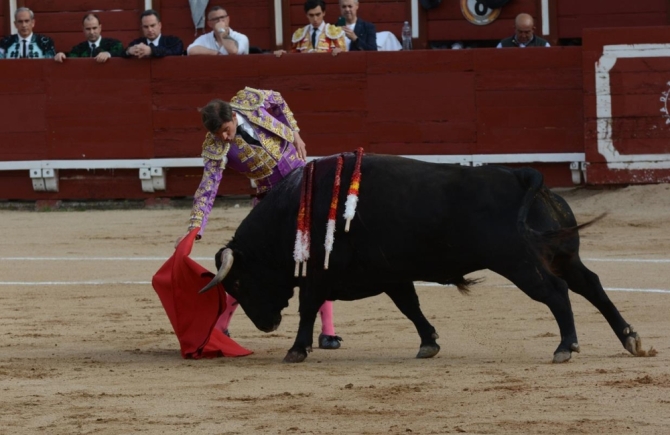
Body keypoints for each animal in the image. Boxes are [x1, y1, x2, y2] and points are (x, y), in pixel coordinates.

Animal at [202, 154, 648, 364]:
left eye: (237, 282)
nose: (266, 325)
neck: (294, 211)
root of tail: (522, 175)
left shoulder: (319, 275)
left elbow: (308, 307)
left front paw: (296, 349)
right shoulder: (391, 274)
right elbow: (410, 306)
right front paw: (429, 343)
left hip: (520, 263)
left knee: (556, 293)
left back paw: (566, 346)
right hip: (562, 254)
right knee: (590, 285)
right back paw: (630, 339)